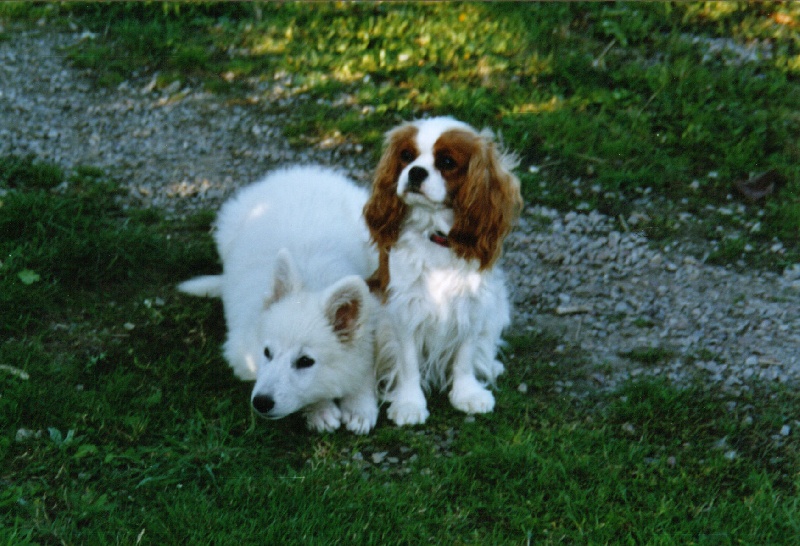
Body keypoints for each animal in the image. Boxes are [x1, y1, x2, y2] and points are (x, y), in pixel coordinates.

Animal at [180, 164, 380, 432]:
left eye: (305, 361)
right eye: (267, 352)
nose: (261, 402)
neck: (313, 280)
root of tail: (302, 171)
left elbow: (366, 365)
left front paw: (359, 406)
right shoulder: (242, 355)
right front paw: (320, 409)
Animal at [364, 118, 524, 424]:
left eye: (447, 162)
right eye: (406, 156)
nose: (415, 172)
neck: (435, 233)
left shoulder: (472, 304)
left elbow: (465, 355)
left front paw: (467, 394)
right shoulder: (405, 307)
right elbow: (408, 361)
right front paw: (410, 404)